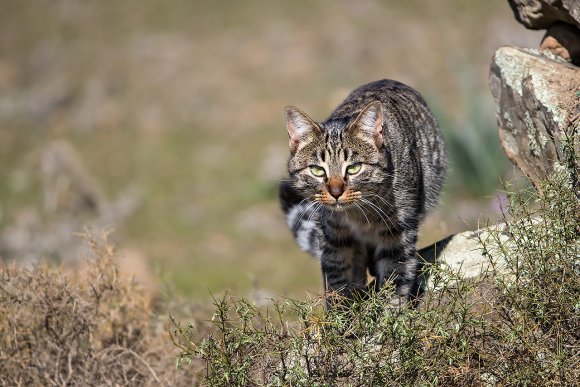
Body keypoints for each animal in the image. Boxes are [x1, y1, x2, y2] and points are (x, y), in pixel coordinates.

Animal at [278, 79, 446, 306]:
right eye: (317, 170)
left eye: (354, 168)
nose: (336, 191)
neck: (358, 214)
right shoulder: (334, 240)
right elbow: (338, 285)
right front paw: (343, 314)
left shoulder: (398, 234)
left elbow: (396, 282)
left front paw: (391, 313)